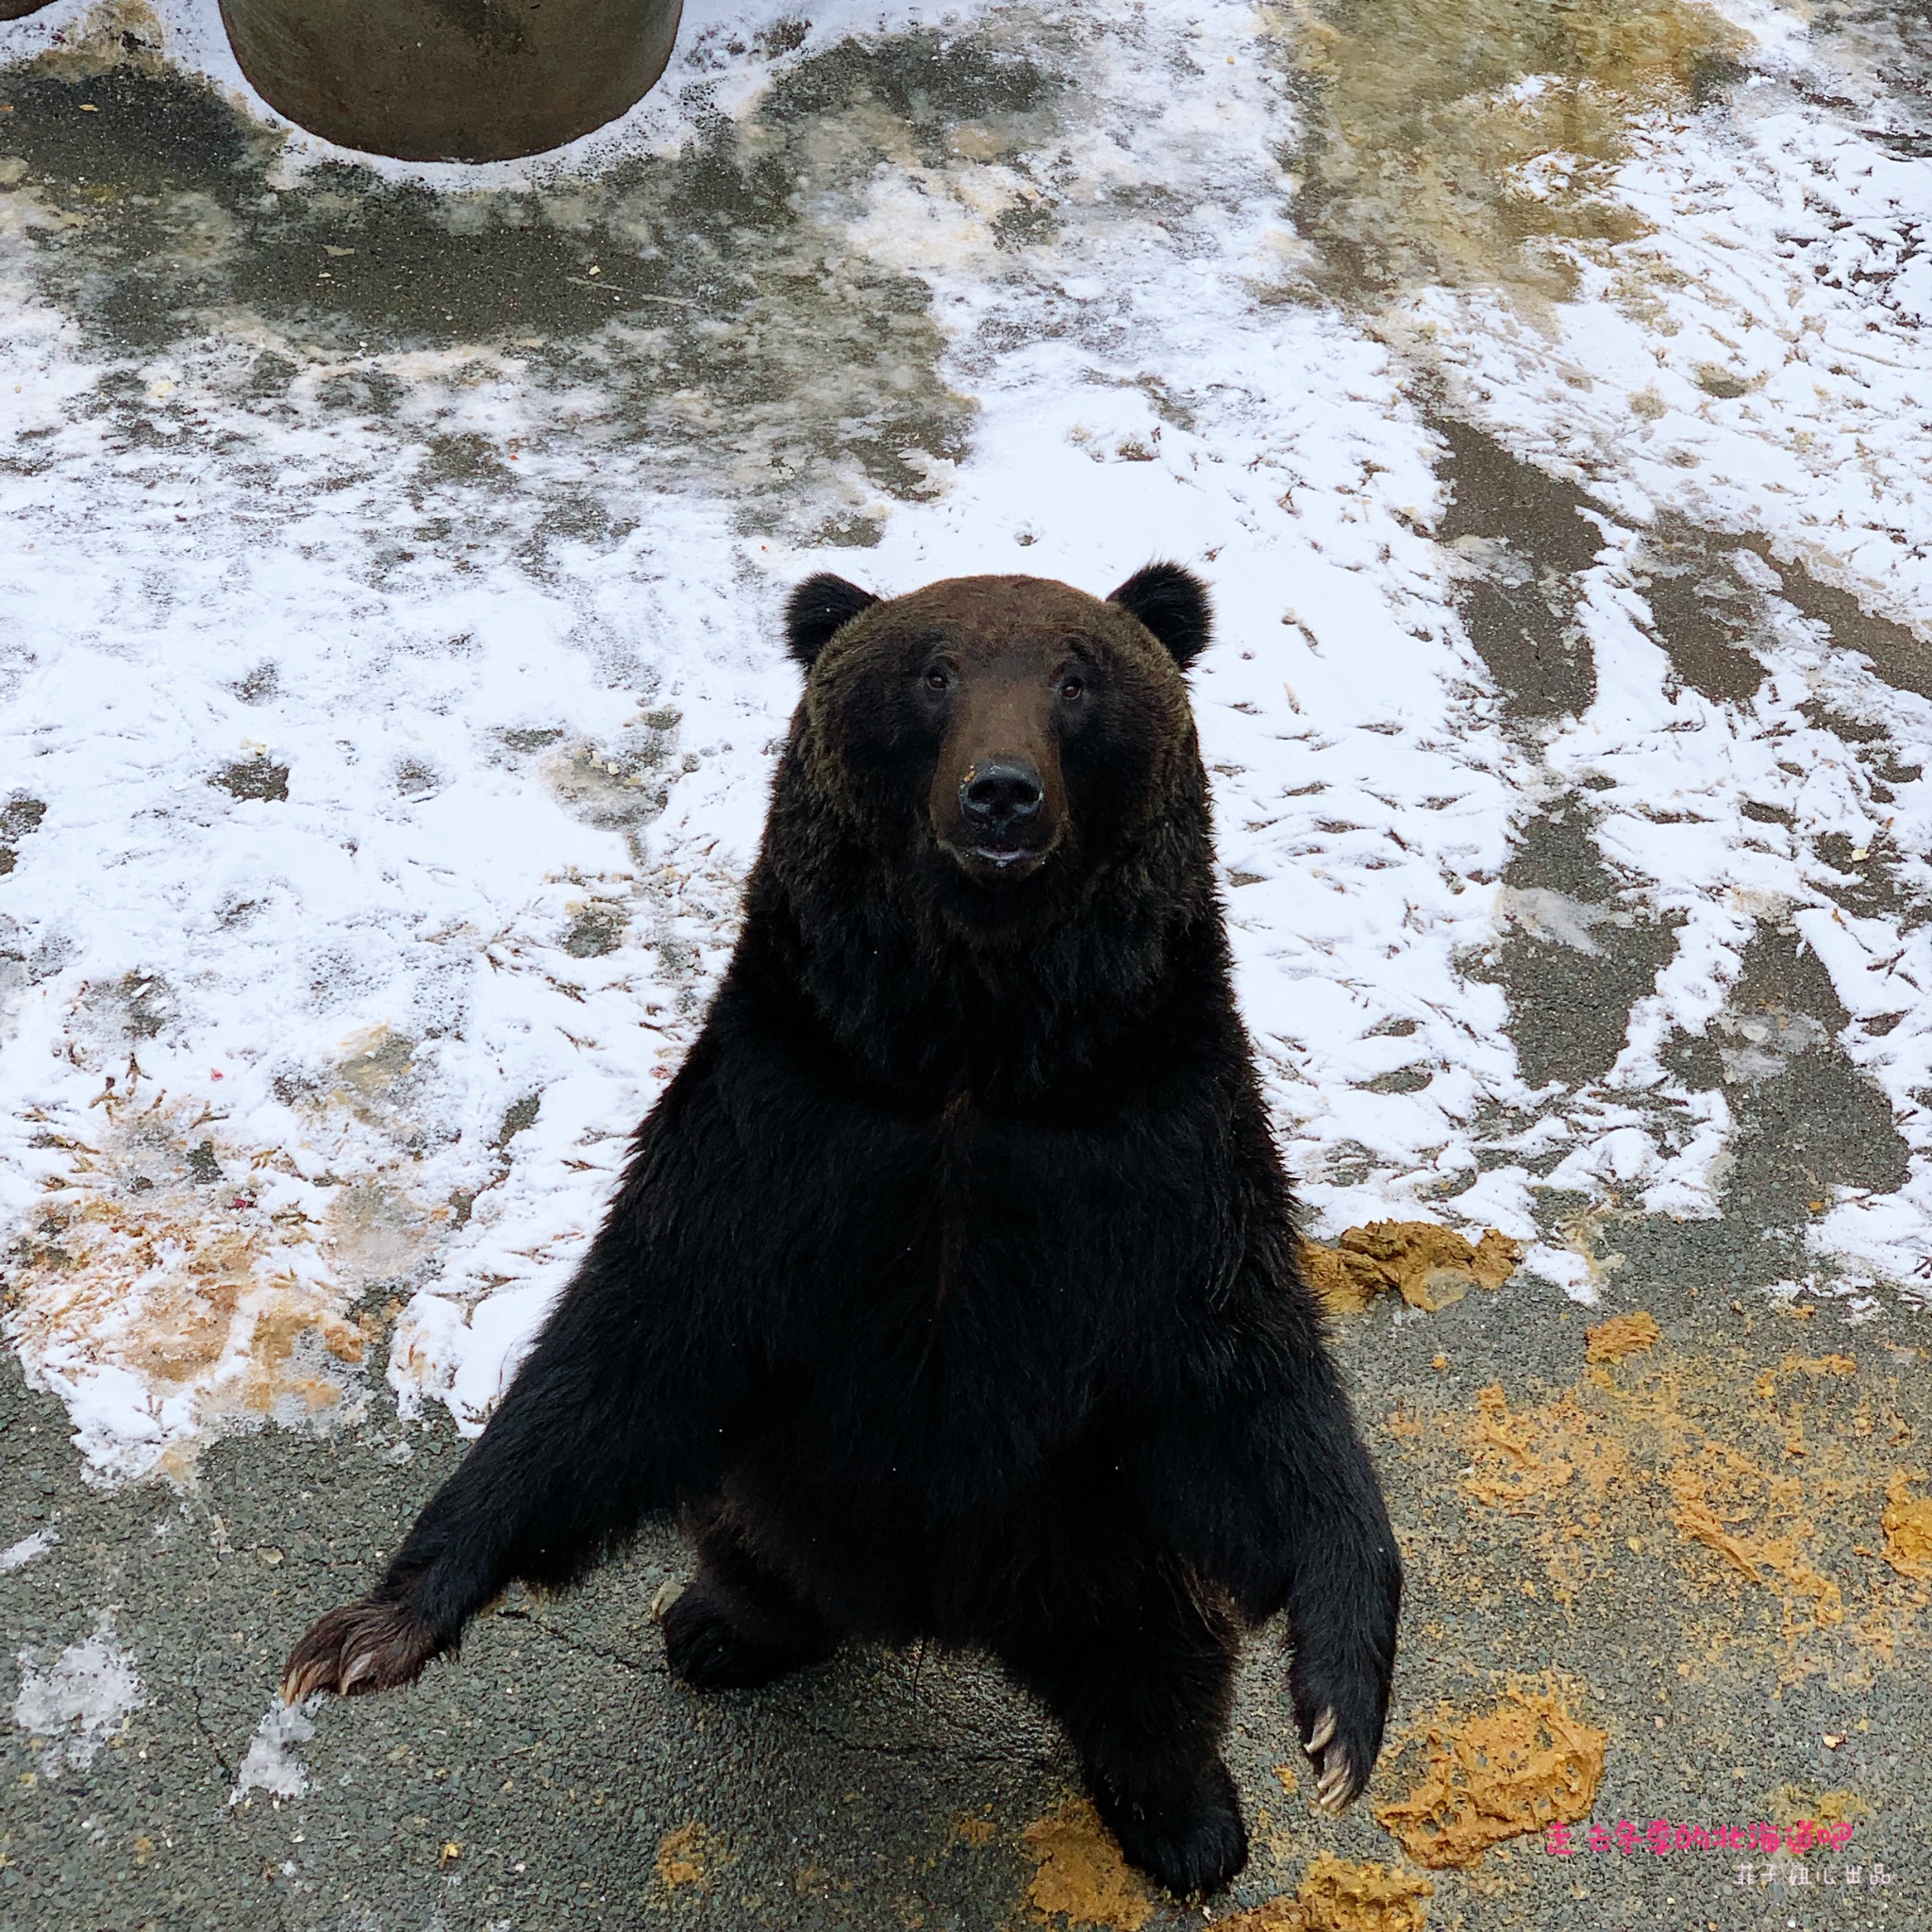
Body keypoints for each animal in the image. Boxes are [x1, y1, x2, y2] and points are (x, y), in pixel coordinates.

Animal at [286, 564, 1398, 1893]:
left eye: (1076, 677)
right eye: (932, 671)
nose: (1001, 792)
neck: (972, 1040)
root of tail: (934, 1611)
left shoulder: (1152, 1149)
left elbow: (1248, 1386)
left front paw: (1339, 1717)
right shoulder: (784, 1119)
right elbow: (623, 1345)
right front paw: (369, 1629)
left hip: (1099, 1548)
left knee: (1160, 1672)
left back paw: (1188, 1820)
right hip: (783, 1485)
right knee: (746, 1544)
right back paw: (716, 1627)